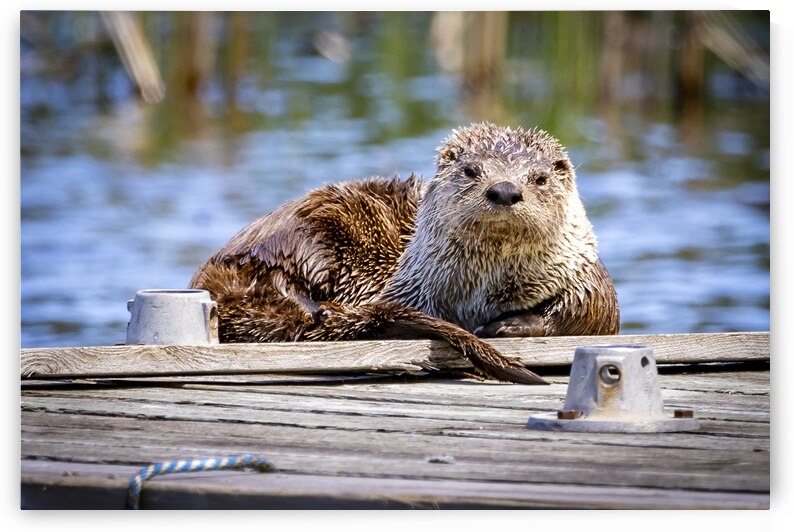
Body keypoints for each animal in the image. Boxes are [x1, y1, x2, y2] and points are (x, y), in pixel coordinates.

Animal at [189, 122, 619, 384]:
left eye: (539, 178)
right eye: (472, 171)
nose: (504, 190)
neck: (486, 293)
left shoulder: (583, 273)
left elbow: (592, 312)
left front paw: (509, 326)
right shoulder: (412, 288)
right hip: (309, 231)